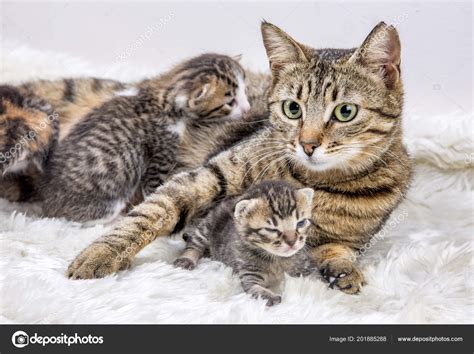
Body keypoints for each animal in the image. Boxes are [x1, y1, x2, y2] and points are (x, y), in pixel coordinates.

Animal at [38, 53, 252, 223]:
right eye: (230, 101)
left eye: (245, 90)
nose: (247, 109)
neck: (163, 94)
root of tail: (47, 204)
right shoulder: (161, 153)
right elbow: (154, 189)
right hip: (108, 201)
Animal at [173, 181, 314, 306]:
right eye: (271, 230)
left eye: (301, 223)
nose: (292, 242)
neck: (276, 259)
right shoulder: (249, 272)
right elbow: (254, 287)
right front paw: (268, 295)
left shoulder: (306, 266)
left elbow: (314, 278)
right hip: (206, 228)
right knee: (194, 243)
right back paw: (187, 258)